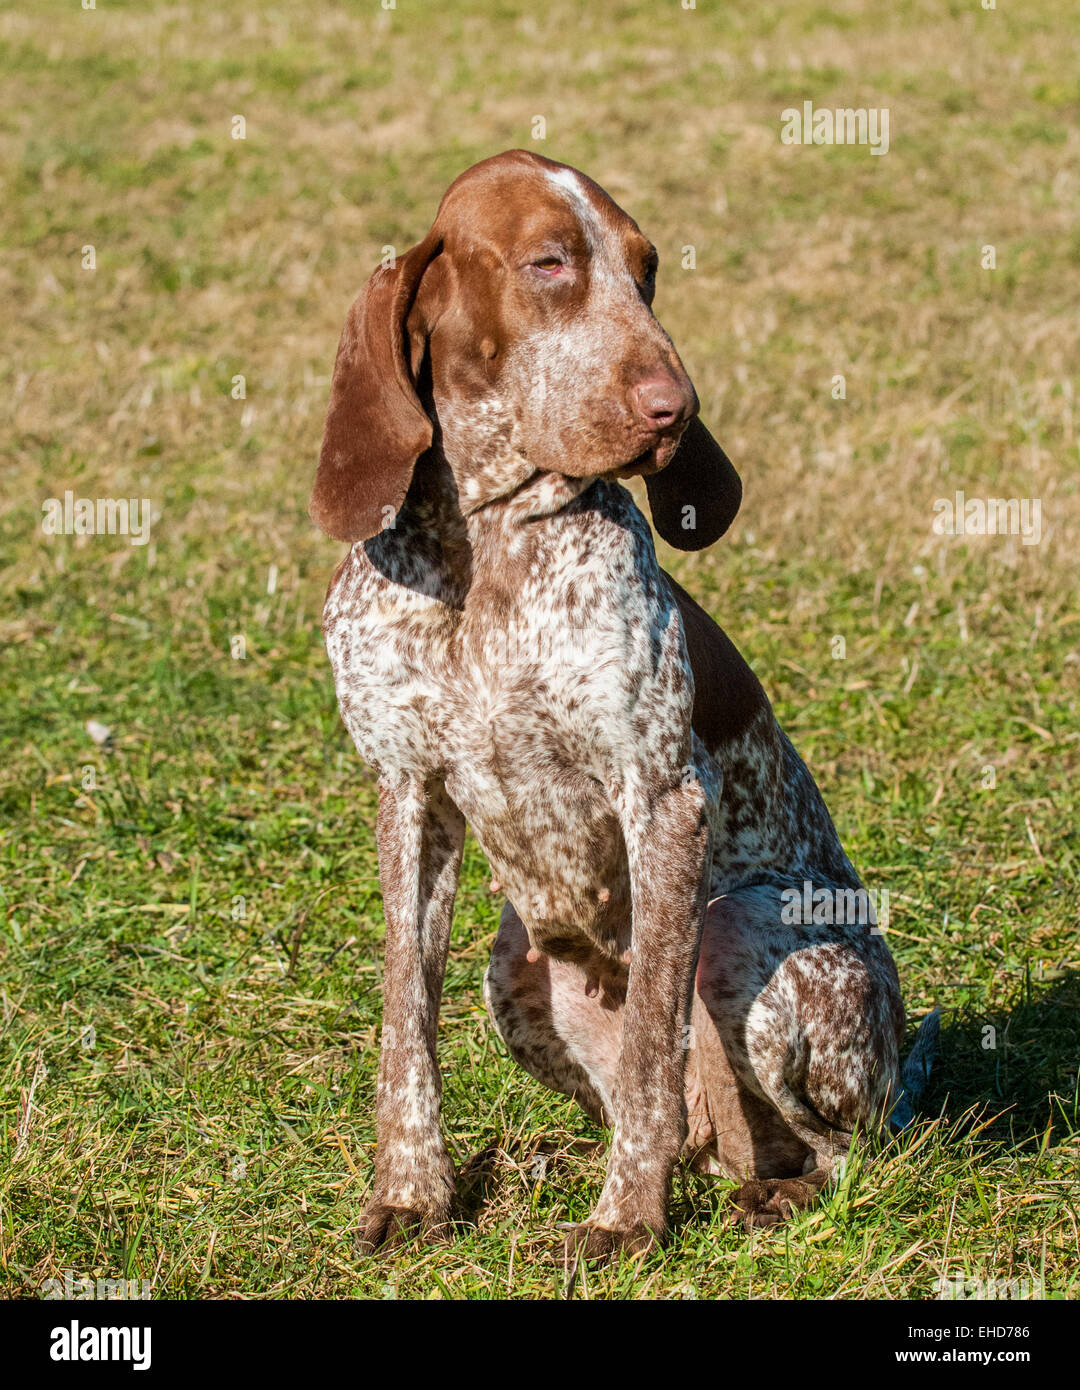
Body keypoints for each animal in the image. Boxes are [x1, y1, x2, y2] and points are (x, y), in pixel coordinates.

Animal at [311, 152, 928, 1262]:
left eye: (646, 271)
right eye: (549, 262)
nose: (673, 407)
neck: (485, 546)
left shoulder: (661, 801)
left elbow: (649, 1050)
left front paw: (627, 1216)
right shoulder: (408, 796)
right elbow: (404, 1025)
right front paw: (416, 1191)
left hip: (748, 933)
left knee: (838, 1150)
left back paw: (766, 1191)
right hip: (516, 969)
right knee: (704, 1130)